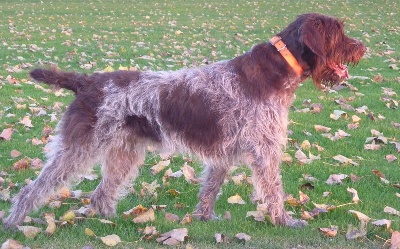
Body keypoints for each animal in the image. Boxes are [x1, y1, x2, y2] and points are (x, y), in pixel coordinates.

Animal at [3, 12, 366, 229]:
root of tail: (87, 81)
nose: (363, 48)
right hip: (80, 147)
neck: (278, 69)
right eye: (338, 32)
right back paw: (14, 223)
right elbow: (274, 190)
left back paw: (116, 223)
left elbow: (210, 188)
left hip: (125, 152)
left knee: (101, 194)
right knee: (34, 188)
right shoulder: (264, 150)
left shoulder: (226, 151)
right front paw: (284, 222)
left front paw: (204, 218)